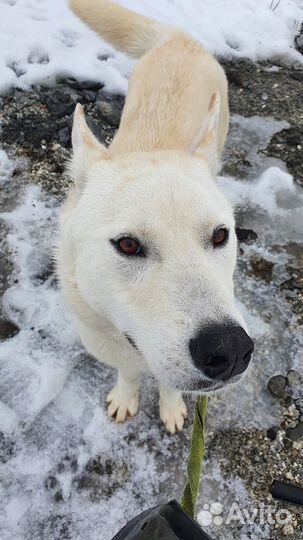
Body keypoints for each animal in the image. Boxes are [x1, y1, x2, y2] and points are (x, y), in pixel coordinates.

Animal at [56, 0, 254, 432]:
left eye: (220, 236)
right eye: (128, 245)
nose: (230, 350)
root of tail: (178, 37)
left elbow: (169, 386)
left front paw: (171, 407)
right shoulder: (111, 345)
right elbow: (129, 373)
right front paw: (127, 396)